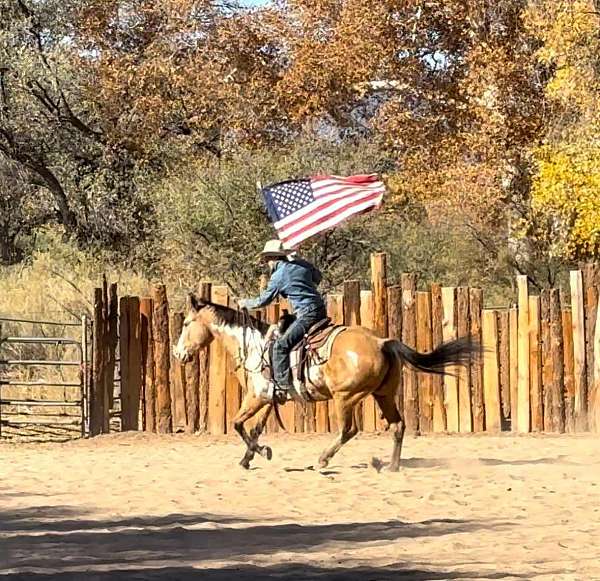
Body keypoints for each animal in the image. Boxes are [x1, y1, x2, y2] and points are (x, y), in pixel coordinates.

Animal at [175, 294, 478, 472]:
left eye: (187, 323)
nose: (178, 354)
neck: (254, 346)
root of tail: (382, 342)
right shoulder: (268, 398)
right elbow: (256, 428)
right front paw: (249, 458)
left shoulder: (257, 396)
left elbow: (238, 424)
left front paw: (261, 453)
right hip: (384, 395)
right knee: (398, 426)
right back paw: (390, 466)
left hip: (346, 397)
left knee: (349, 429)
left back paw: (323, 459)